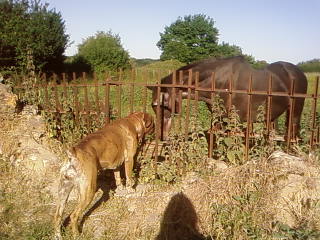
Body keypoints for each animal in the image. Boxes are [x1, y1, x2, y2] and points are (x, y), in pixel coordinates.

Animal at [53, 111, 154, 239]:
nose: (155, 129)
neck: (131, 121)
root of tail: (73, 155)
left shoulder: (116, 165)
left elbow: (118, 178)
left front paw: (121, 188)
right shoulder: (129, 160)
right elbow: (129, 177)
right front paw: (131, 189)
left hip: (63, 191)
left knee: (57, 215)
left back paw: (57, 235)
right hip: (88, 191)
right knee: (74, 216)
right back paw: (77, 234)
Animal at [148, 55, 308, 141]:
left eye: (164, 104)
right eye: (153, 106)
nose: (161, 136)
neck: (220, 81)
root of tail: (298, 72)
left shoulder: (233, 118)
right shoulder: (220, 117)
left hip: (295, 111)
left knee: (292, 132)